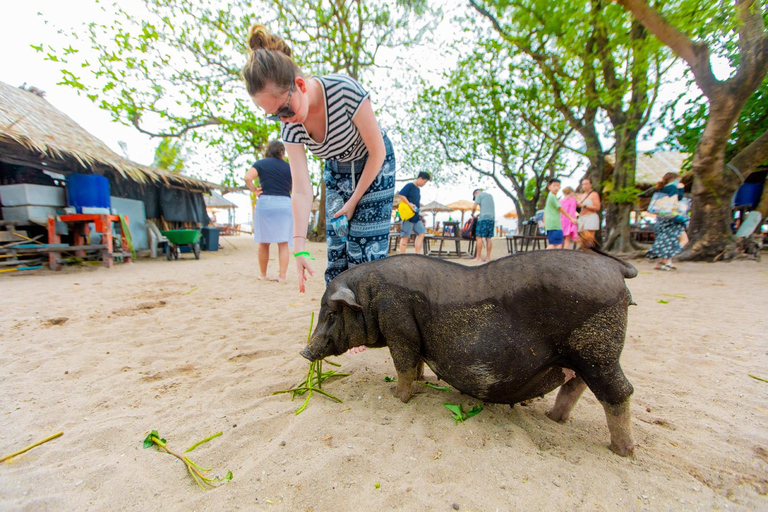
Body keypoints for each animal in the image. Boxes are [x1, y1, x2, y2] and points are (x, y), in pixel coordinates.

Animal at [300, 249, 638, 456]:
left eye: (332, 314)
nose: (304, 352)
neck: (370, 297)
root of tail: (614, 267)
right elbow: (417, 364)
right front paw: (421, 384)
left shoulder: (399, 326)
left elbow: (404, 364)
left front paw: (398, 397)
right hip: (584, 358)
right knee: (576, 386)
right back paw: (553, 419)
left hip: (597, 352)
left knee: (619, 393)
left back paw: (622, 451)